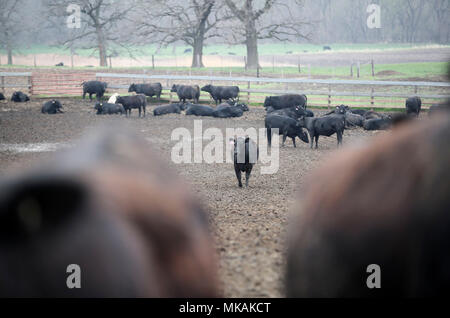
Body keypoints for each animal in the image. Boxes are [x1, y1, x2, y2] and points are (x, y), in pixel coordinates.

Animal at [286, 115, 450, 298]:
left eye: (300, 121)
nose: (295, 123)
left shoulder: (313, 132)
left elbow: (314, 140)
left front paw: (312, 147)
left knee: (339, 139)